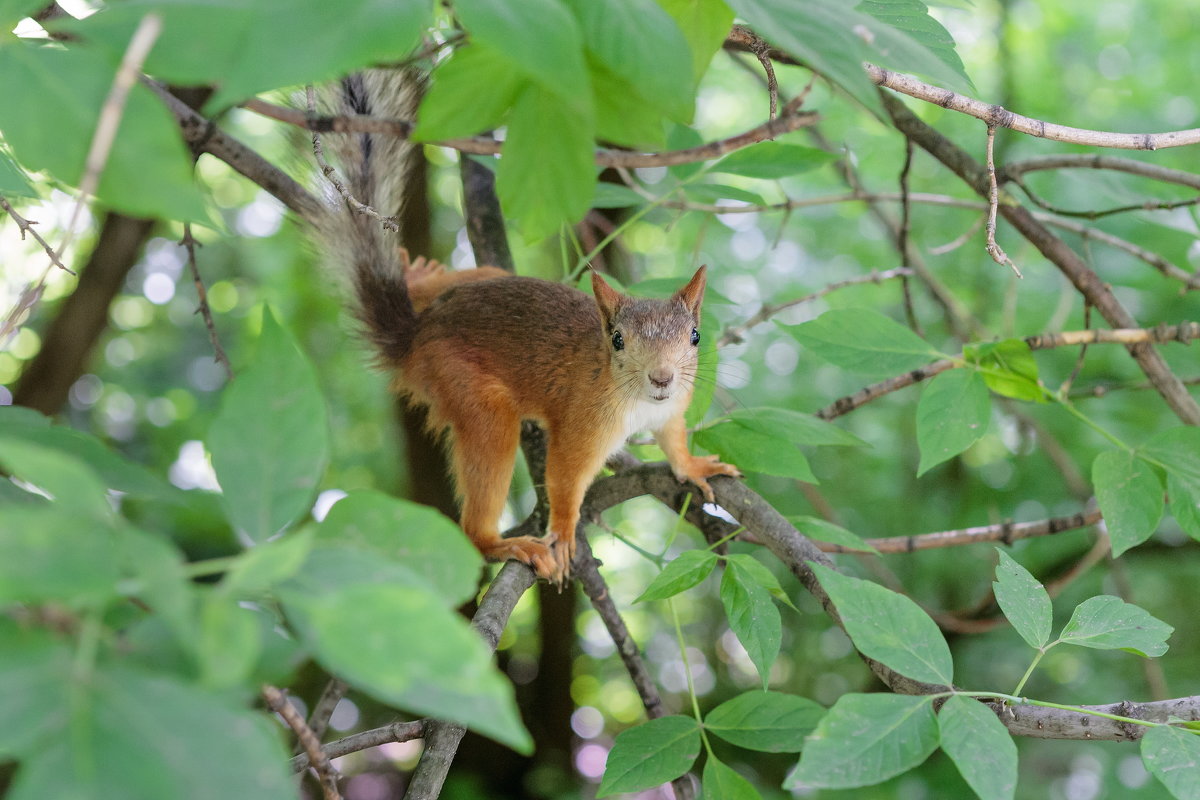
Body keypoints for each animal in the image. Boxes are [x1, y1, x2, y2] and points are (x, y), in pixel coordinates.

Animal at [324, 71, 734, 585]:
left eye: (694, 336)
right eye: (618, 340)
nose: (662, 378)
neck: (637, 401)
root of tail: (418, 336)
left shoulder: (672, 410)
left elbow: (674, 443)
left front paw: (694, 465)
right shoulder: (583, 424)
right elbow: (564, 478)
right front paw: (563, 531)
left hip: (485, 275)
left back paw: (418, 276)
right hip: (472, 395)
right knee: (479, 502)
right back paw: (505, 543)